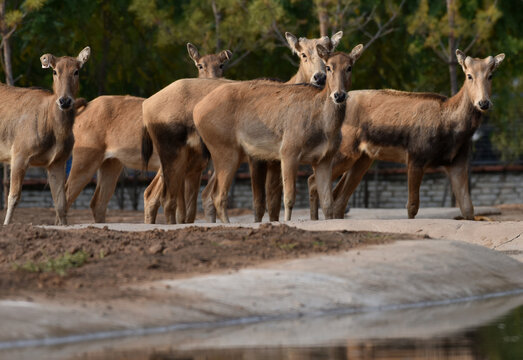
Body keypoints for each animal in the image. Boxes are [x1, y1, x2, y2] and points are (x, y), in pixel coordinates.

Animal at [0, 46, 90, 224]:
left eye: (76, 71)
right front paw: (6, 224)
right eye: (55, 71)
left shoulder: (58, 161)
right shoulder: (19, 153)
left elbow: (61, 204)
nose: (64, 101)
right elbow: (13, 197)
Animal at [64, 43, 231, 222]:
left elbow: (187, 211)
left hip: (111, 163)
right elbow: (163, 202)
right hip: (85, 158)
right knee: (66, 195)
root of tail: (82, 109)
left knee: (97, 203)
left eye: (221, 65)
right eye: (200, 65)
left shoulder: (195, 169)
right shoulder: (170, 168)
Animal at [142, 32, 344, 224]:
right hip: (176, 154)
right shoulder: (258, 158)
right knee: (161, 197)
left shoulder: (276, 161)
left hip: (196, 160)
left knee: (181, 198)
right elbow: (259, 203)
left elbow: (274, 204)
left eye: (329, 49)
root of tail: (147, 105)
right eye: (303, 54)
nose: (320, 77)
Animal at [194, 44, 366, 224]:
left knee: (210, 193)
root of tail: (197, 110)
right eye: (328, 67)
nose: (339, 95)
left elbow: (327, 202)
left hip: (229, 152)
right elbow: (288, 198)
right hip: (225, 148)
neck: (325, 128)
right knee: (218, 195)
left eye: (349, 67)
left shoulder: (325, 158)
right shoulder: (289, 150)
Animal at [310, 49, 506, 221]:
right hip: (344, 151)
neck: (451, 129)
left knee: (339, 198)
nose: (483, 103)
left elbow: (468, 208)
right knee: (314, 181)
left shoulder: (458, 162)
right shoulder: (415, 156)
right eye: (469, 75)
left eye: (490, 75)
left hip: (363, 158)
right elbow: (412, 206)